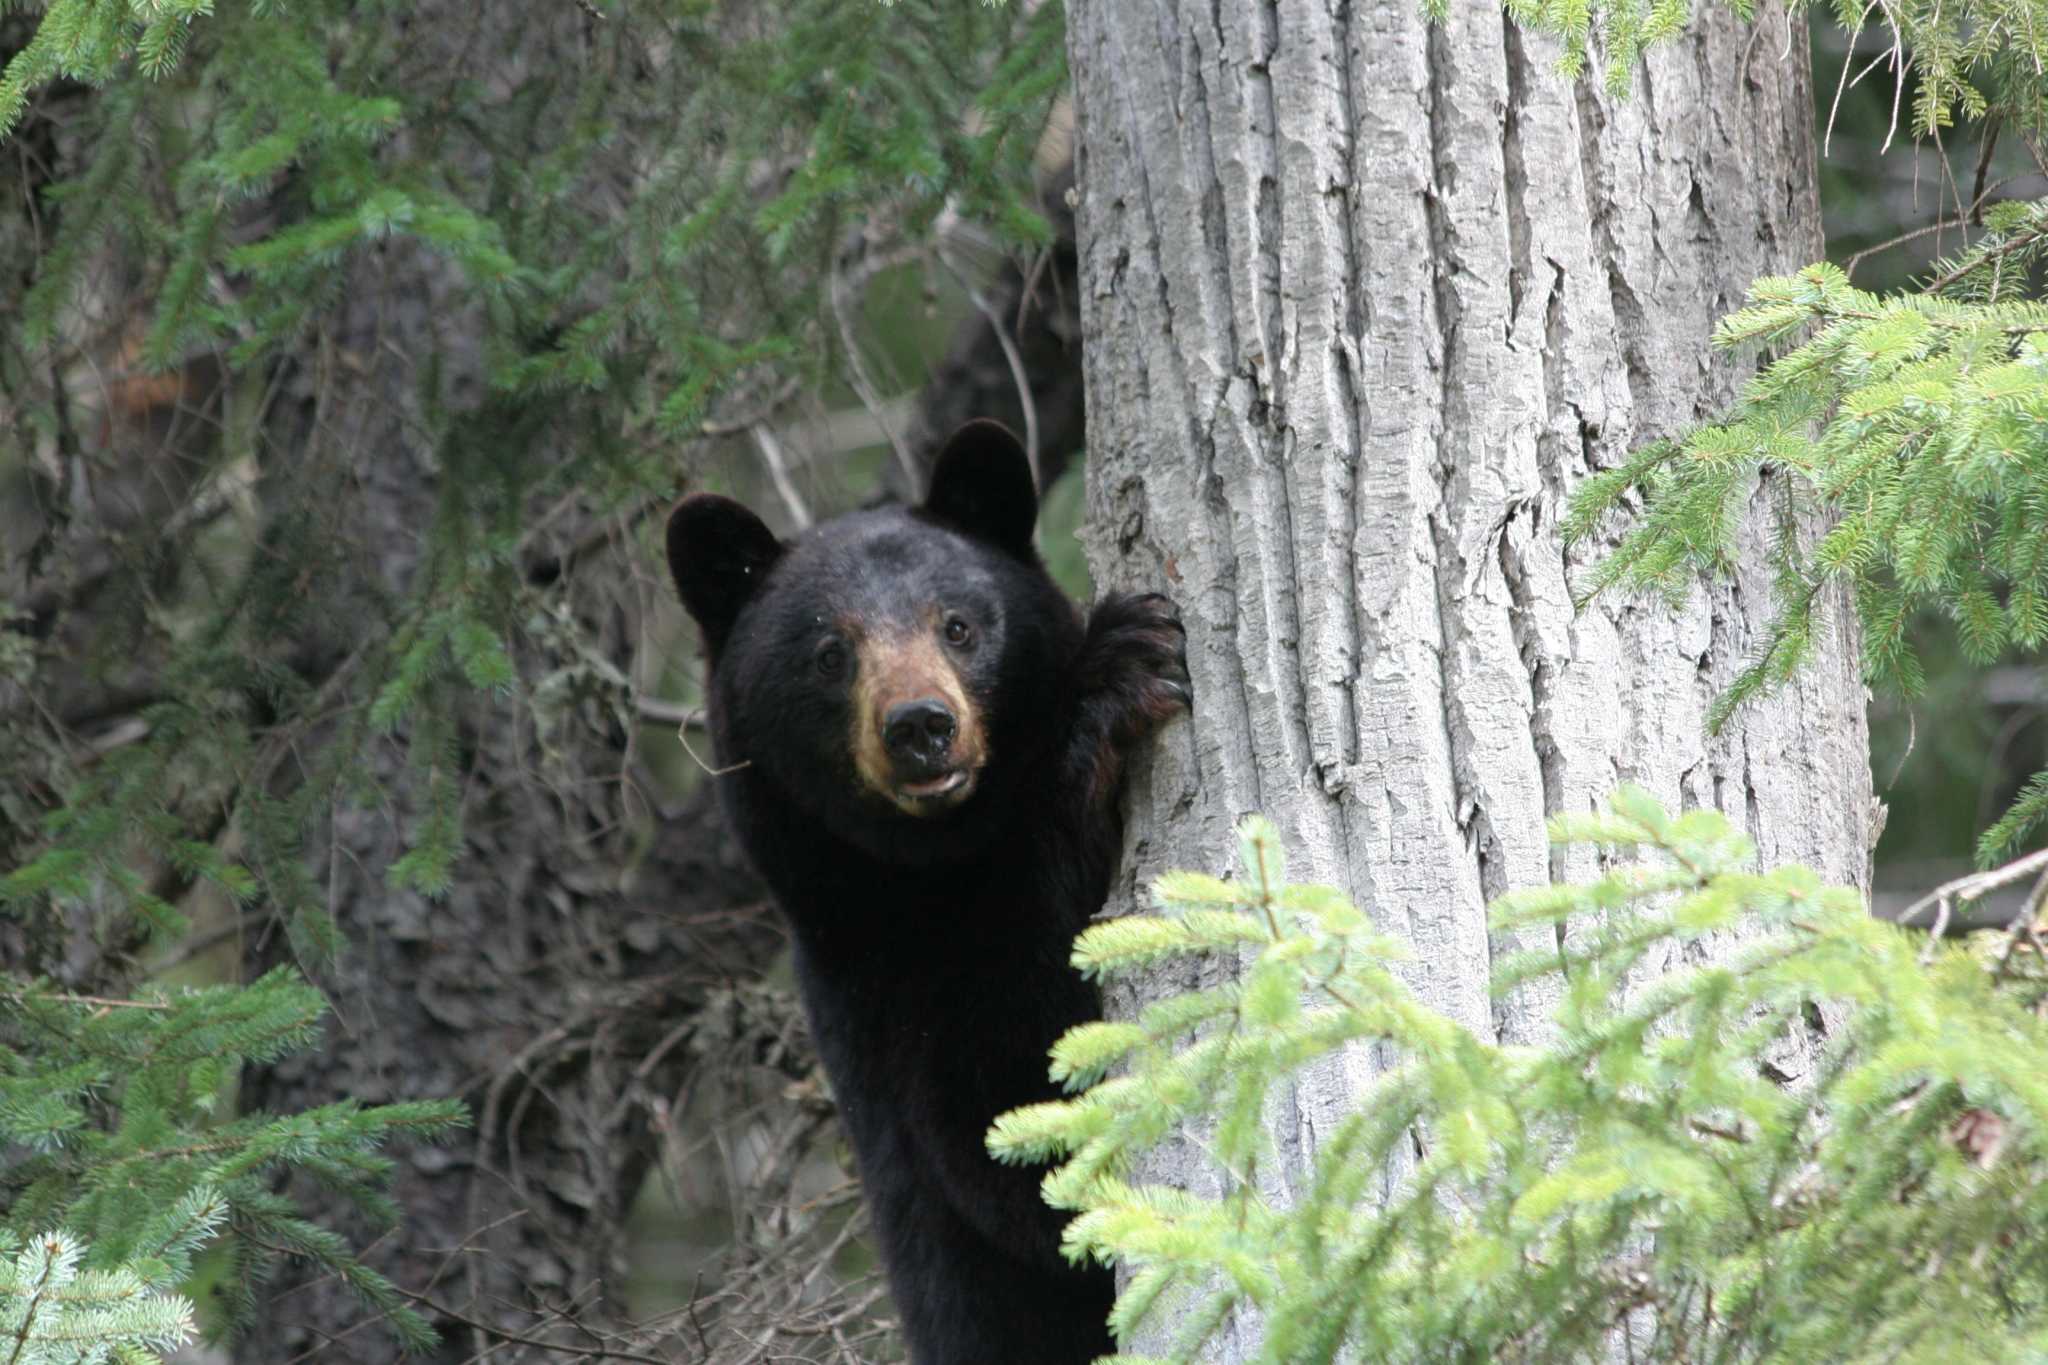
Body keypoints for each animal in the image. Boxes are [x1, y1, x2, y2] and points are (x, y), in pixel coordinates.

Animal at [663, 419, 1196, 1365]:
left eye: (958, 624)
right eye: (830, 652)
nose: (920, 725)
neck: (938, 863)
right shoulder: (878, 986)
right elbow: (1019, 1130)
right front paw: (1118, 671)